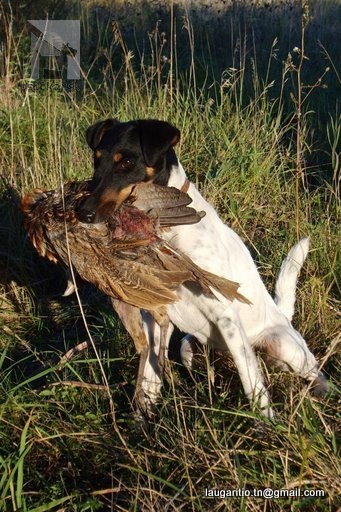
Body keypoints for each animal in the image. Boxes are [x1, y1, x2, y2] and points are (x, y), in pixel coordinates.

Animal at [78, 118, 328, 418]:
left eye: (126, 162)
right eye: (96, 160)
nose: (83, 212)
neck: (167, 231)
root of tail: (283, 315)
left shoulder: (225, 315)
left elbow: (252, 384)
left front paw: (267, 423)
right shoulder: (154, 316)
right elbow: (149, 376)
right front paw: (143, 417)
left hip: (284, 347)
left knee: (314, 371)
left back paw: (322, 392)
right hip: (190, 345)